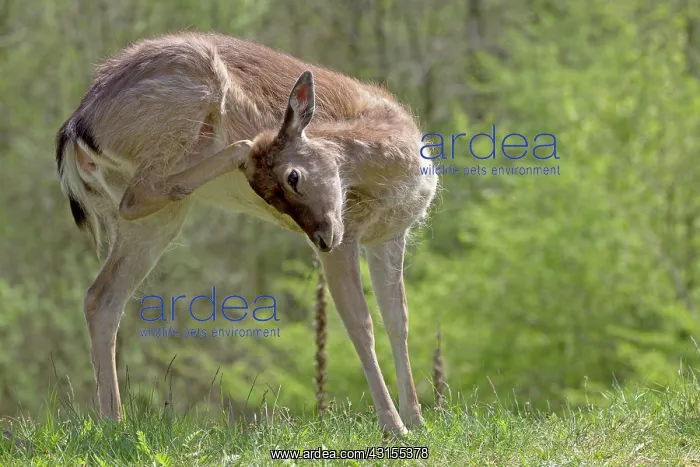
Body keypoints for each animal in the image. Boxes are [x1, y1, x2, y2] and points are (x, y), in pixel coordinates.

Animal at [55, 32, 438, 435]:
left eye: (292, 177)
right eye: (272, 192)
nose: (320, 237)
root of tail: (74, 130)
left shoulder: (390, 236)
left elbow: (398, 320)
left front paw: (419, 420)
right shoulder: (347, 242)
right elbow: (360, 325)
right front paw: (395, 427)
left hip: (151, 221)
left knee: (101, 297)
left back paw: (114, 423)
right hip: (179, 120)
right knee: (140, 196)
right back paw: (237, 149)